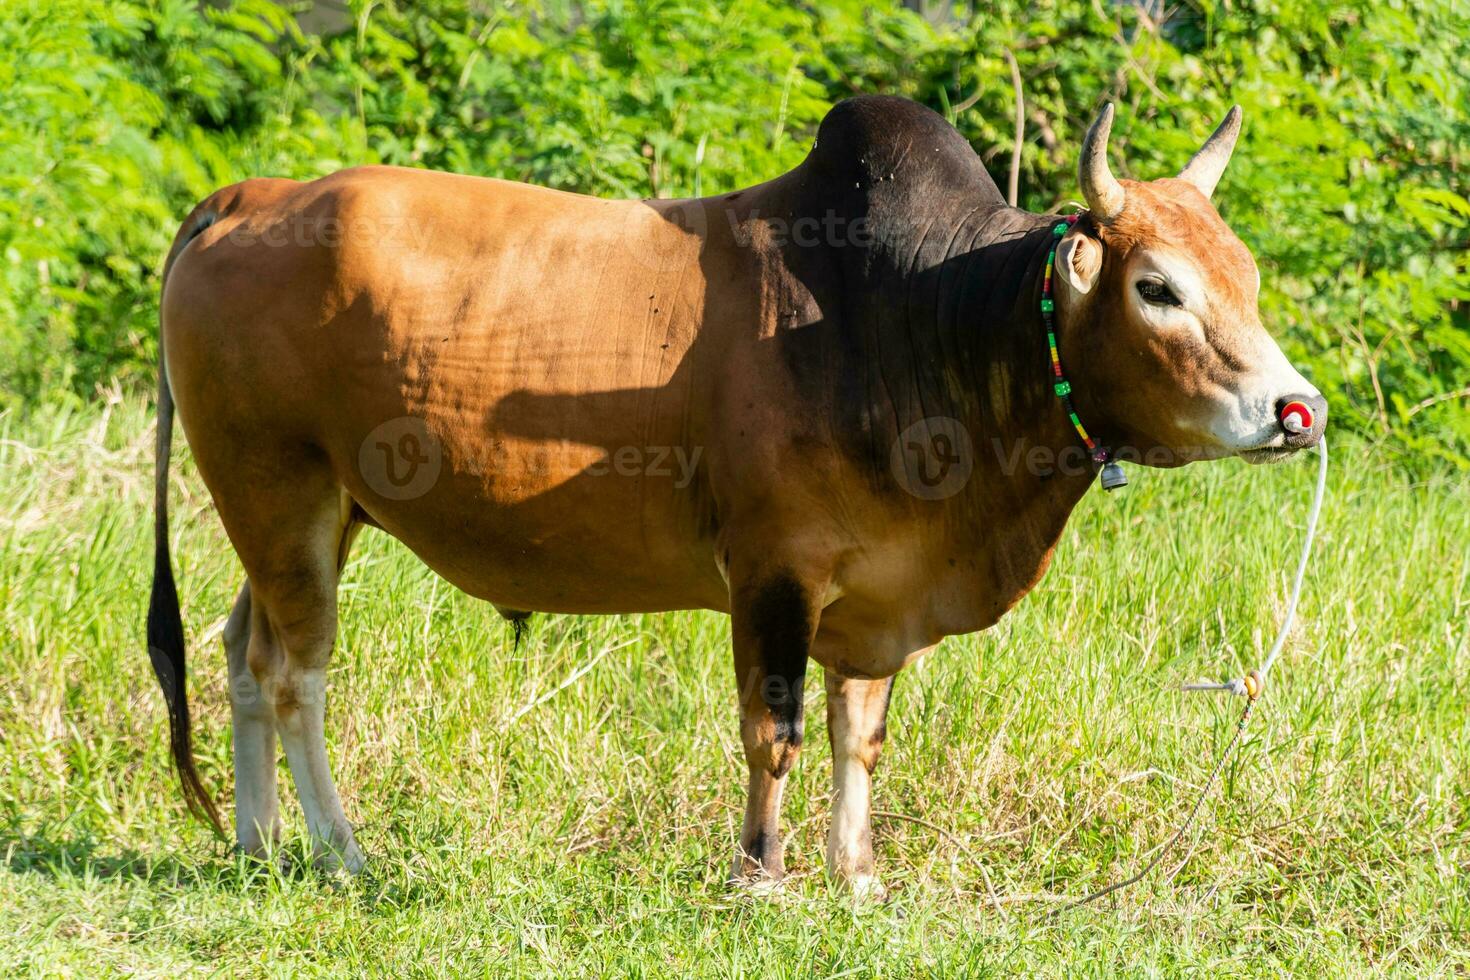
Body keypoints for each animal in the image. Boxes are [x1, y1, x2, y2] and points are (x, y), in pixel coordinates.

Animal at [152, 95, 1334, 893]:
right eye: (1158, 287)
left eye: (1247, 279)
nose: (1296, 410)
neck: (910, 318)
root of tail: (254, 197)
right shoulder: (774, 573)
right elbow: (777, 728)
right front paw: (760, 872)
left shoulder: (878, 593)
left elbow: (860, 735)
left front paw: (857, 875)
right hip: (279, 490)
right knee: (294, 673)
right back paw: (340, 849)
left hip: (309, 513)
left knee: (242, 651)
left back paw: (257, 841)